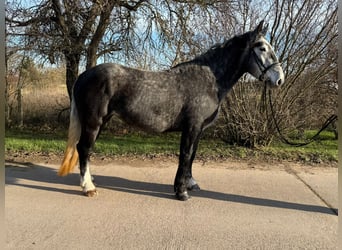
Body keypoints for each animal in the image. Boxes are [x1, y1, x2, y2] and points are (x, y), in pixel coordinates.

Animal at [58, 21, 284, 201]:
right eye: (262, 48)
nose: (279, 79)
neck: (209, 80)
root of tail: (84, 75)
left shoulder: (198, 129)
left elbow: (192, 155)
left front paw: (190, 183)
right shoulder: (192, 127)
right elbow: (185, 155)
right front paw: (181, 192)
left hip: (101, 121)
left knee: (86, 149)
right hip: (93, 122)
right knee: (83, 148)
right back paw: (88, 187)